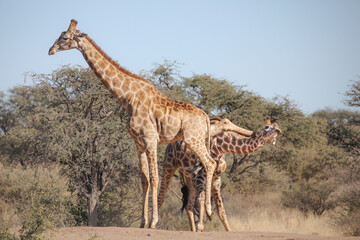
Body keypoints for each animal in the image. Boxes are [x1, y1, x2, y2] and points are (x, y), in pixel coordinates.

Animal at [48, 19, 217, 229]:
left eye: (64, 37)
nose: (50, 50)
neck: (127, 98)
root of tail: (205, 116)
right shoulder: (138, 142)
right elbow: (144, 179)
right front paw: (143, 222)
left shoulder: (151, 139)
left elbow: (154, 178)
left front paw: (153, 221)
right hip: (195, 143)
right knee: (202, 170)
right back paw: (203, 220)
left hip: (193, 139)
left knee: (210, 163)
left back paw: (208, 214)